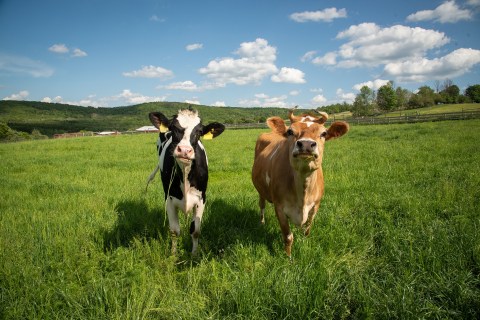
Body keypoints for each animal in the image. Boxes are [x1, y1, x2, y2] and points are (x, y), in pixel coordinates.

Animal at [148, 109, 225, 254]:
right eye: (173, 127)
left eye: (199, 131)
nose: (184, 150)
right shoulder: (169, 198)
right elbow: (174, 231)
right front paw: (173, 255)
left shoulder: (201, 198)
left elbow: (195, 230)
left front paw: (194, 254)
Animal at [251, 109, 348, 256]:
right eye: (290, 131)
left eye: (324, 133)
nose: (306, 144)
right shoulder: (279, 207)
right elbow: (288, 236)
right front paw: (288, 256)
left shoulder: (316, 205)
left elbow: (307, 229)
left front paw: (305, 244)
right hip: (260, 190)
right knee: (261, 205)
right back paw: (262, 222)